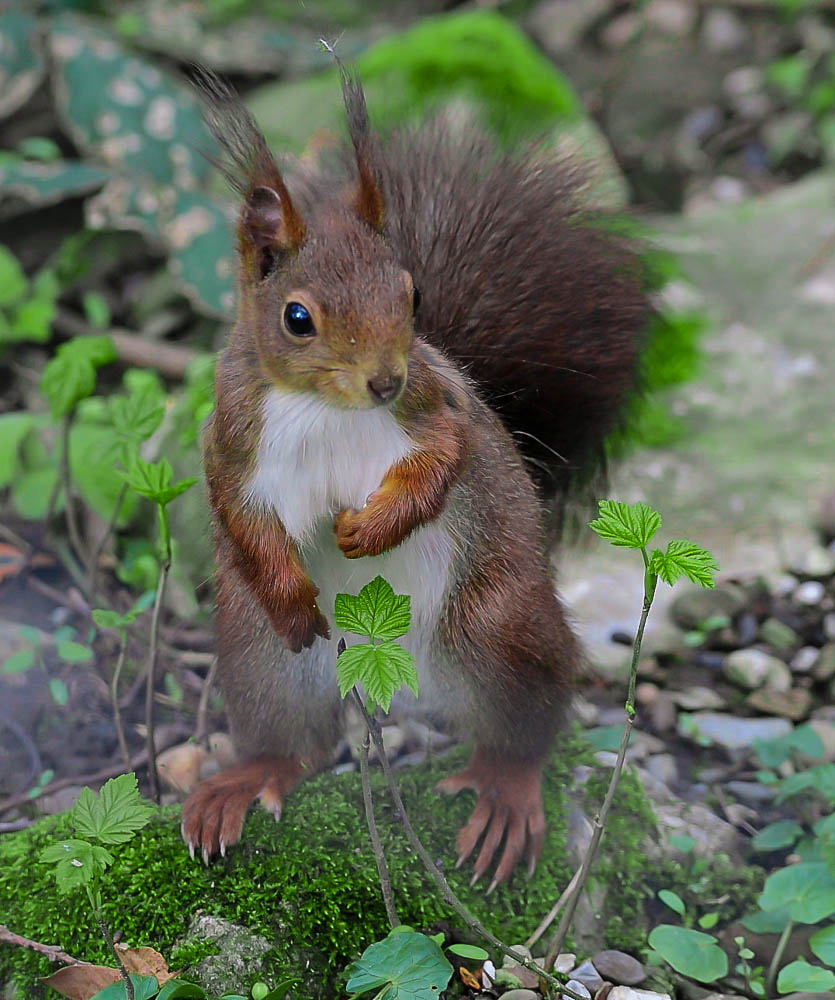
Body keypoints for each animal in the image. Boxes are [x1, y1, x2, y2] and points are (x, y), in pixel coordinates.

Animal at [183, 66, 648, 888]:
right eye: (297, 317)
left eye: (413, 295)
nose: (384, 380)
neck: (326, 406)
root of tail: (395, 673)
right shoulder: (231, 436)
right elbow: (239, 512)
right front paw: (293, 591)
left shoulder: (436, 405)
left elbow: (443, 461)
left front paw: (370, 527)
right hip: (260, 655)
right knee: (297, 744)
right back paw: (248, 778)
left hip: (494, 626)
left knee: (527, 726)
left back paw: (502, 792)